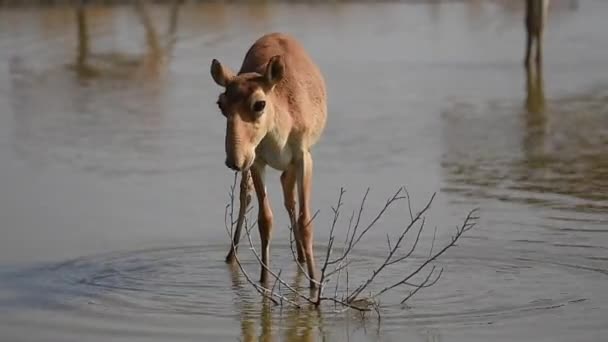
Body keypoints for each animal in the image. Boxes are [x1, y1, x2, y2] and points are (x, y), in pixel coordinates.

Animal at [213, 32, 330, 288]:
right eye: (220, 104)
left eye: (259, 104)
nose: (234, 160)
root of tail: (277, 34)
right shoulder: (257, 163)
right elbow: (265, 220)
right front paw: (264, 280)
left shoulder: (304, 159)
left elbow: (305, 222)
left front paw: (314, 285)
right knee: (246, 195)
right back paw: (231, 255)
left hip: (288, 166)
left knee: (289, 197)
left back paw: (301, 257)